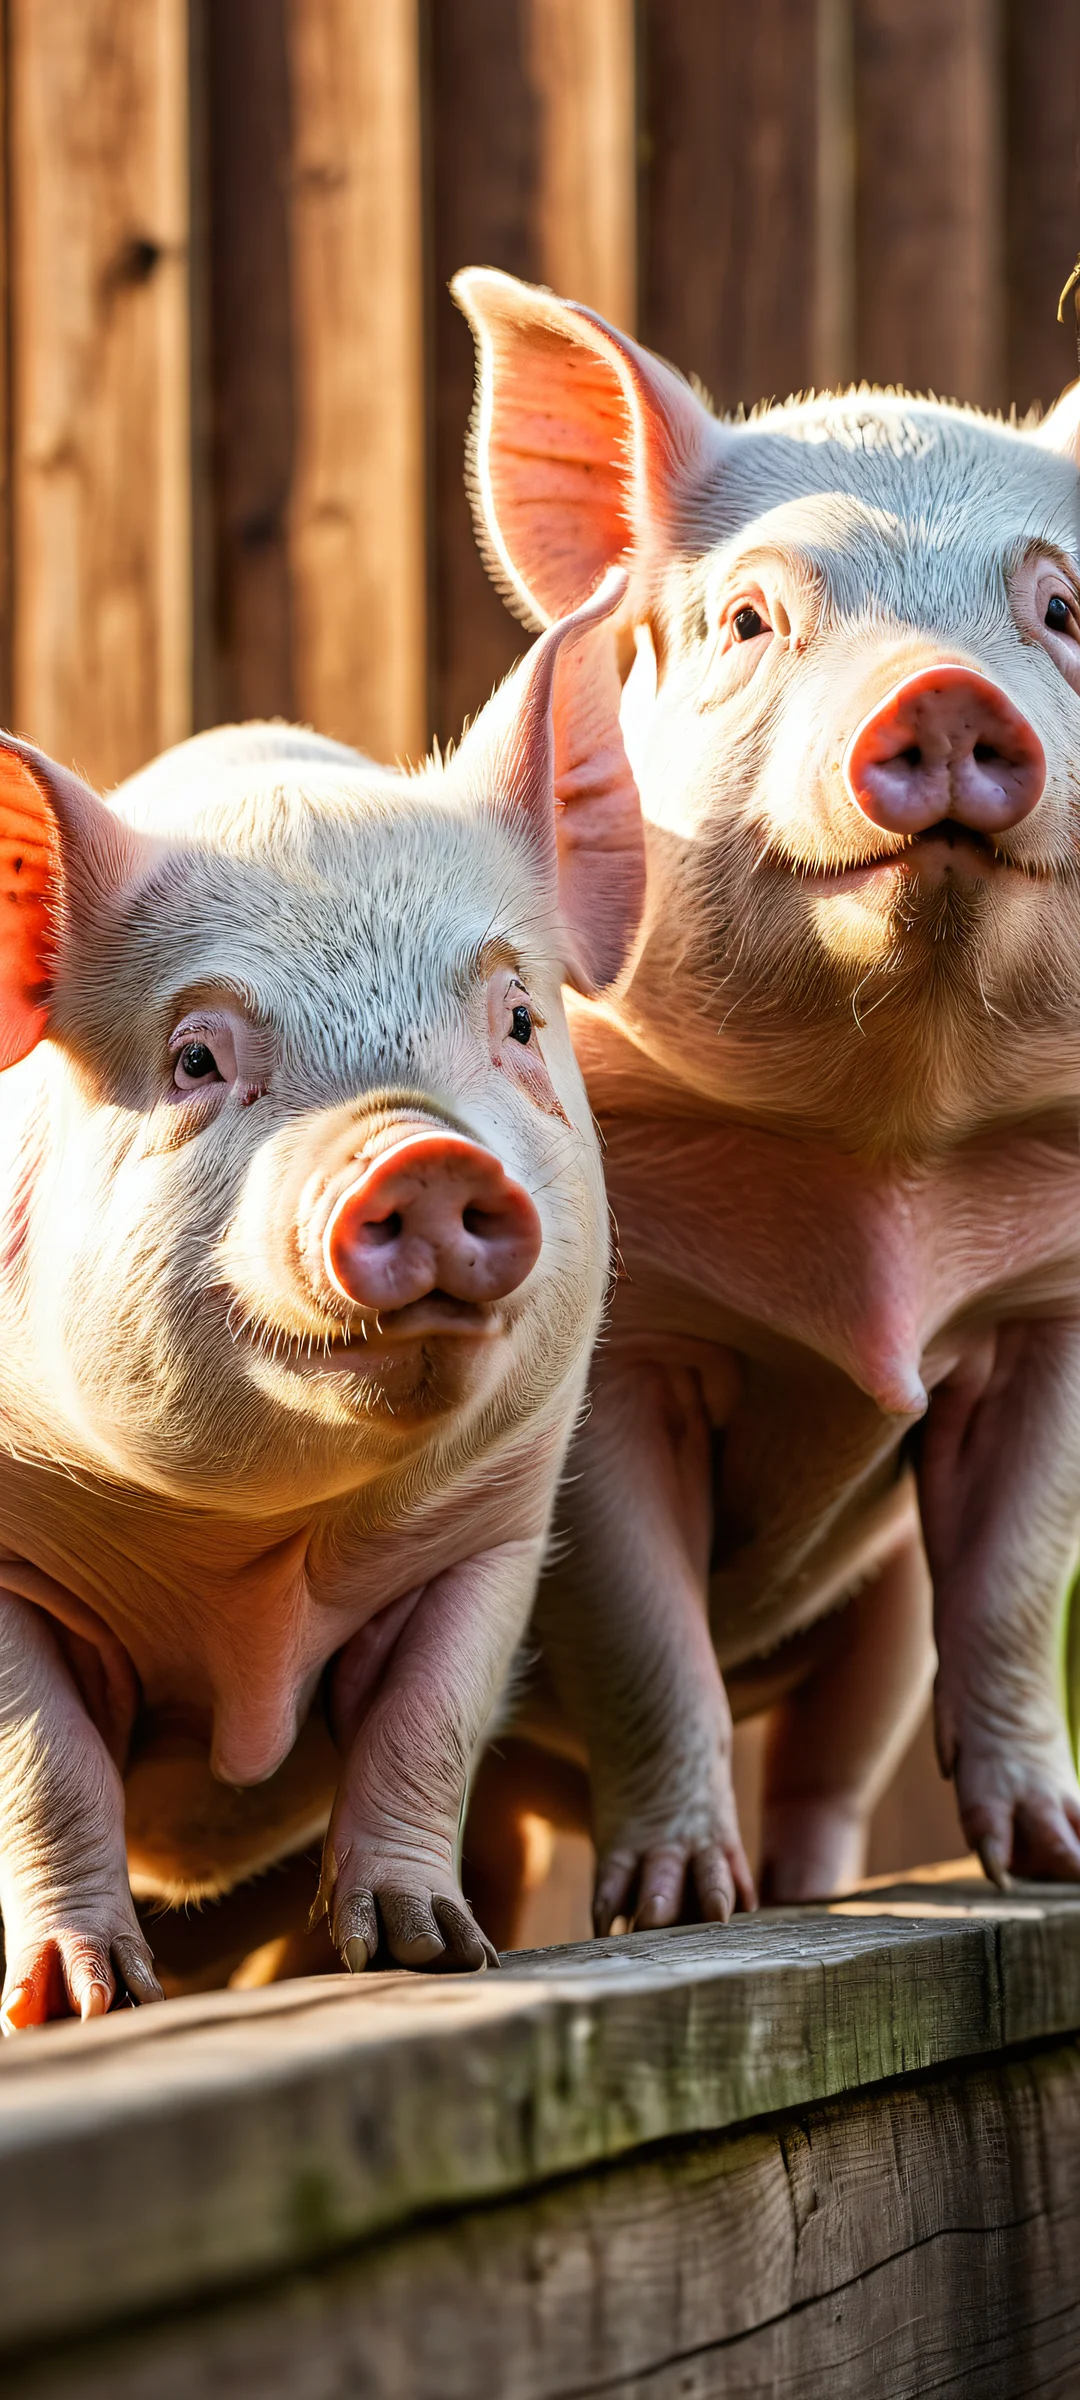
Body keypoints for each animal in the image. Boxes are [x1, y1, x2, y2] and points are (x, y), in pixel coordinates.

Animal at [0, 567, 630, 2030]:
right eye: (194, 1056)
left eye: (520, 1021)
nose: (423, 1155)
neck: (256, 1571)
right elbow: (46, 1767)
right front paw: (82, 2005)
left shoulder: (495, 1529)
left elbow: (426, 1727)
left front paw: (426, 1951)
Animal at [455, 263, 1080, 1930]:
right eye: (752, 618)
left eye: (1062, 612)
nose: (946, 693)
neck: (886, 1152)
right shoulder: (620, 1358)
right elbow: (640, 1629)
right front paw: (673, 1909)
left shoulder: (1044, 1312)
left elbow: (1013, 1584)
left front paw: (1054, 1867)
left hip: (872, 1637)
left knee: (832, 1762)